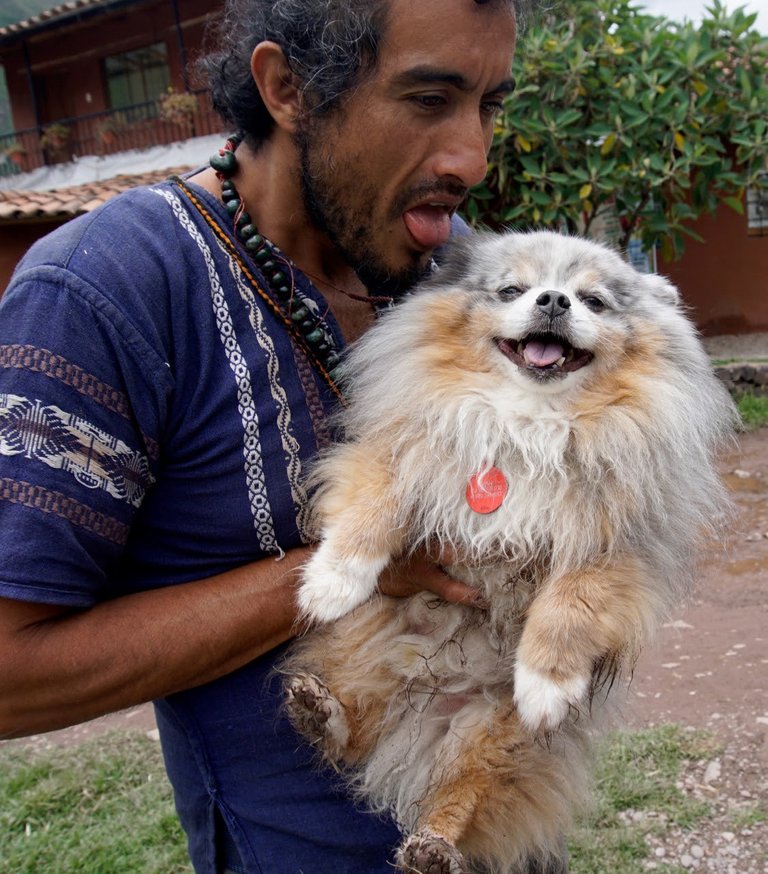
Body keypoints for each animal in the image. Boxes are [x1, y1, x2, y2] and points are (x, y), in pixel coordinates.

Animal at [282, 230, 736, 873]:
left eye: (593, 301)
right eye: (511, 290)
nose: (553, 300)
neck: (530, 424)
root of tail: (419, 717)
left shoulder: (615, 545)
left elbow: (569, 607)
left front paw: (545, 684)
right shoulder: (407, 450)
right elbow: (371, 509)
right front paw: (331, 584)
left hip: (497, 740)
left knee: (456, 796)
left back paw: (432, 849)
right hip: (360, 665)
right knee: (349, 735)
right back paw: (317, 711)